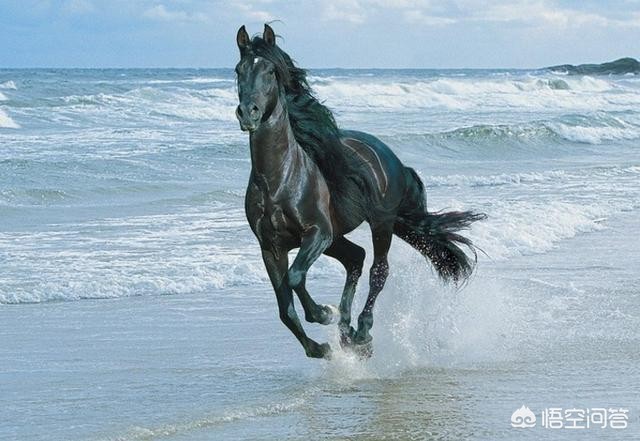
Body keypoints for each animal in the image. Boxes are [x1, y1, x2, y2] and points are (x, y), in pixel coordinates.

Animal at [235, 24, 484, 358]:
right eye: (239, 70)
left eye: (271, 71)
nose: (248, 113)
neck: (279, 180)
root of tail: (390, 157)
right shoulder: (270, 247)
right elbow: (285, 309)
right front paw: (320, 347)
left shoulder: (317, 233)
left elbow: (296, 277)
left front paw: (323, 313)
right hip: (338, 237)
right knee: (356, 258)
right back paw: (347, 331)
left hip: (380, 224)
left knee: (378, 270)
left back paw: (361, 331)